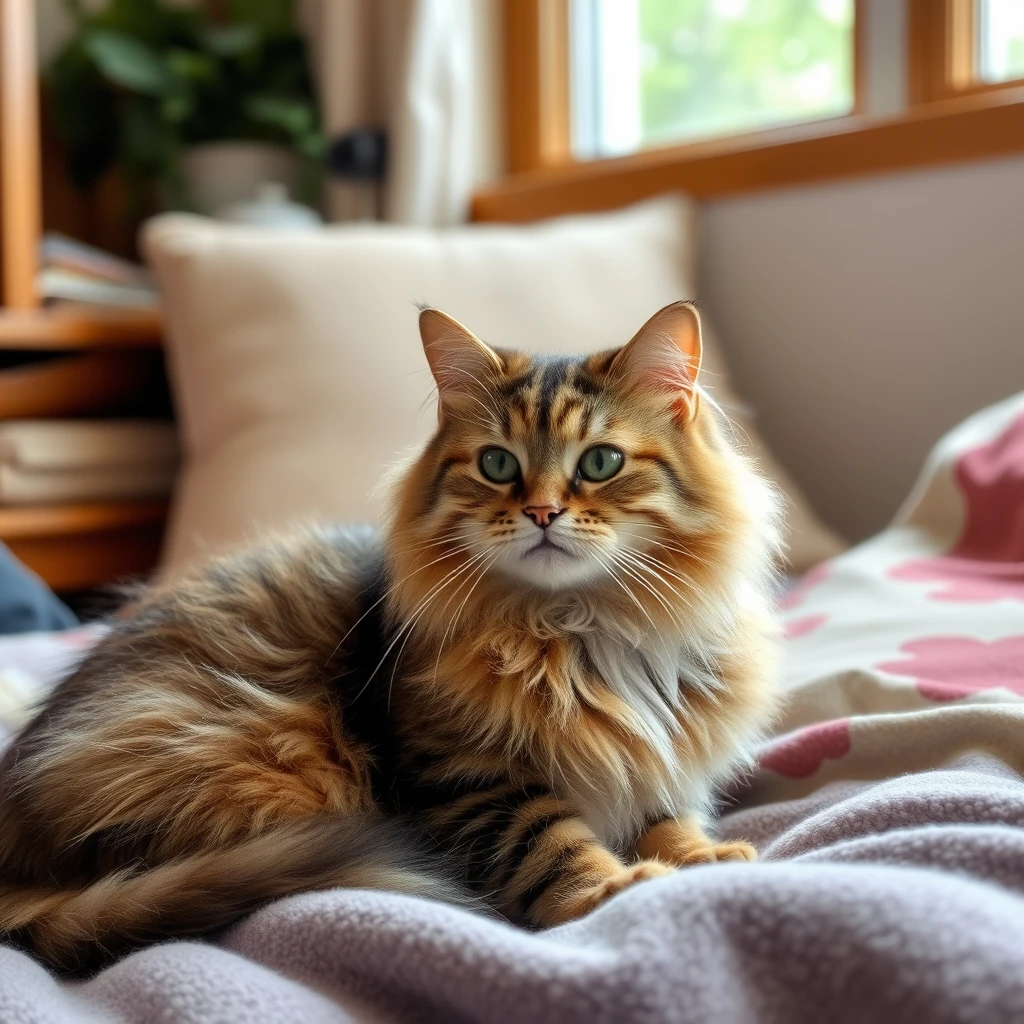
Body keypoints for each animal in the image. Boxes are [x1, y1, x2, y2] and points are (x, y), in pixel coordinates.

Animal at [0, 299, 778, 966]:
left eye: (601, 462)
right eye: (498, 464)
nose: (542, 513)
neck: (578, 633)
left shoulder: (662, 759)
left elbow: (670, 817)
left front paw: (703, 858)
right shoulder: (465, 778)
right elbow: (549, 841)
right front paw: (614, 887)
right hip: (277, 754)